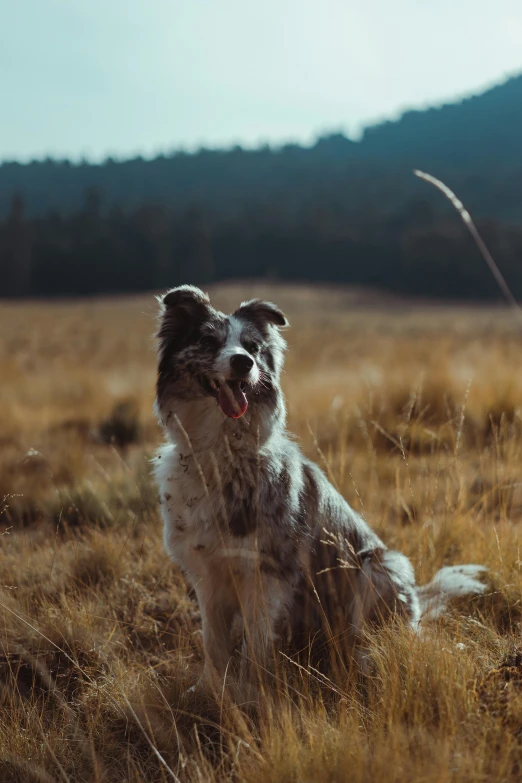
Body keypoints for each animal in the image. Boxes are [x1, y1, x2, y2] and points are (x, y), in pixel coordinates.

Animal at [152, 286, 486, 688]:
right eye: (208, 341)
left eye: (252, 346)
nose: (244, 363)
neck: (221, 449)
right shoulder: (207, 573)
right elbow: (213, 643)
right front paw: (210, 690)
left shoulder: (266, 573)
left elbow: (255, 646)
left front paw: (252, 691)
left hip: (380, 566)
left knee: (376, 634)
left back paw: (363, 660)